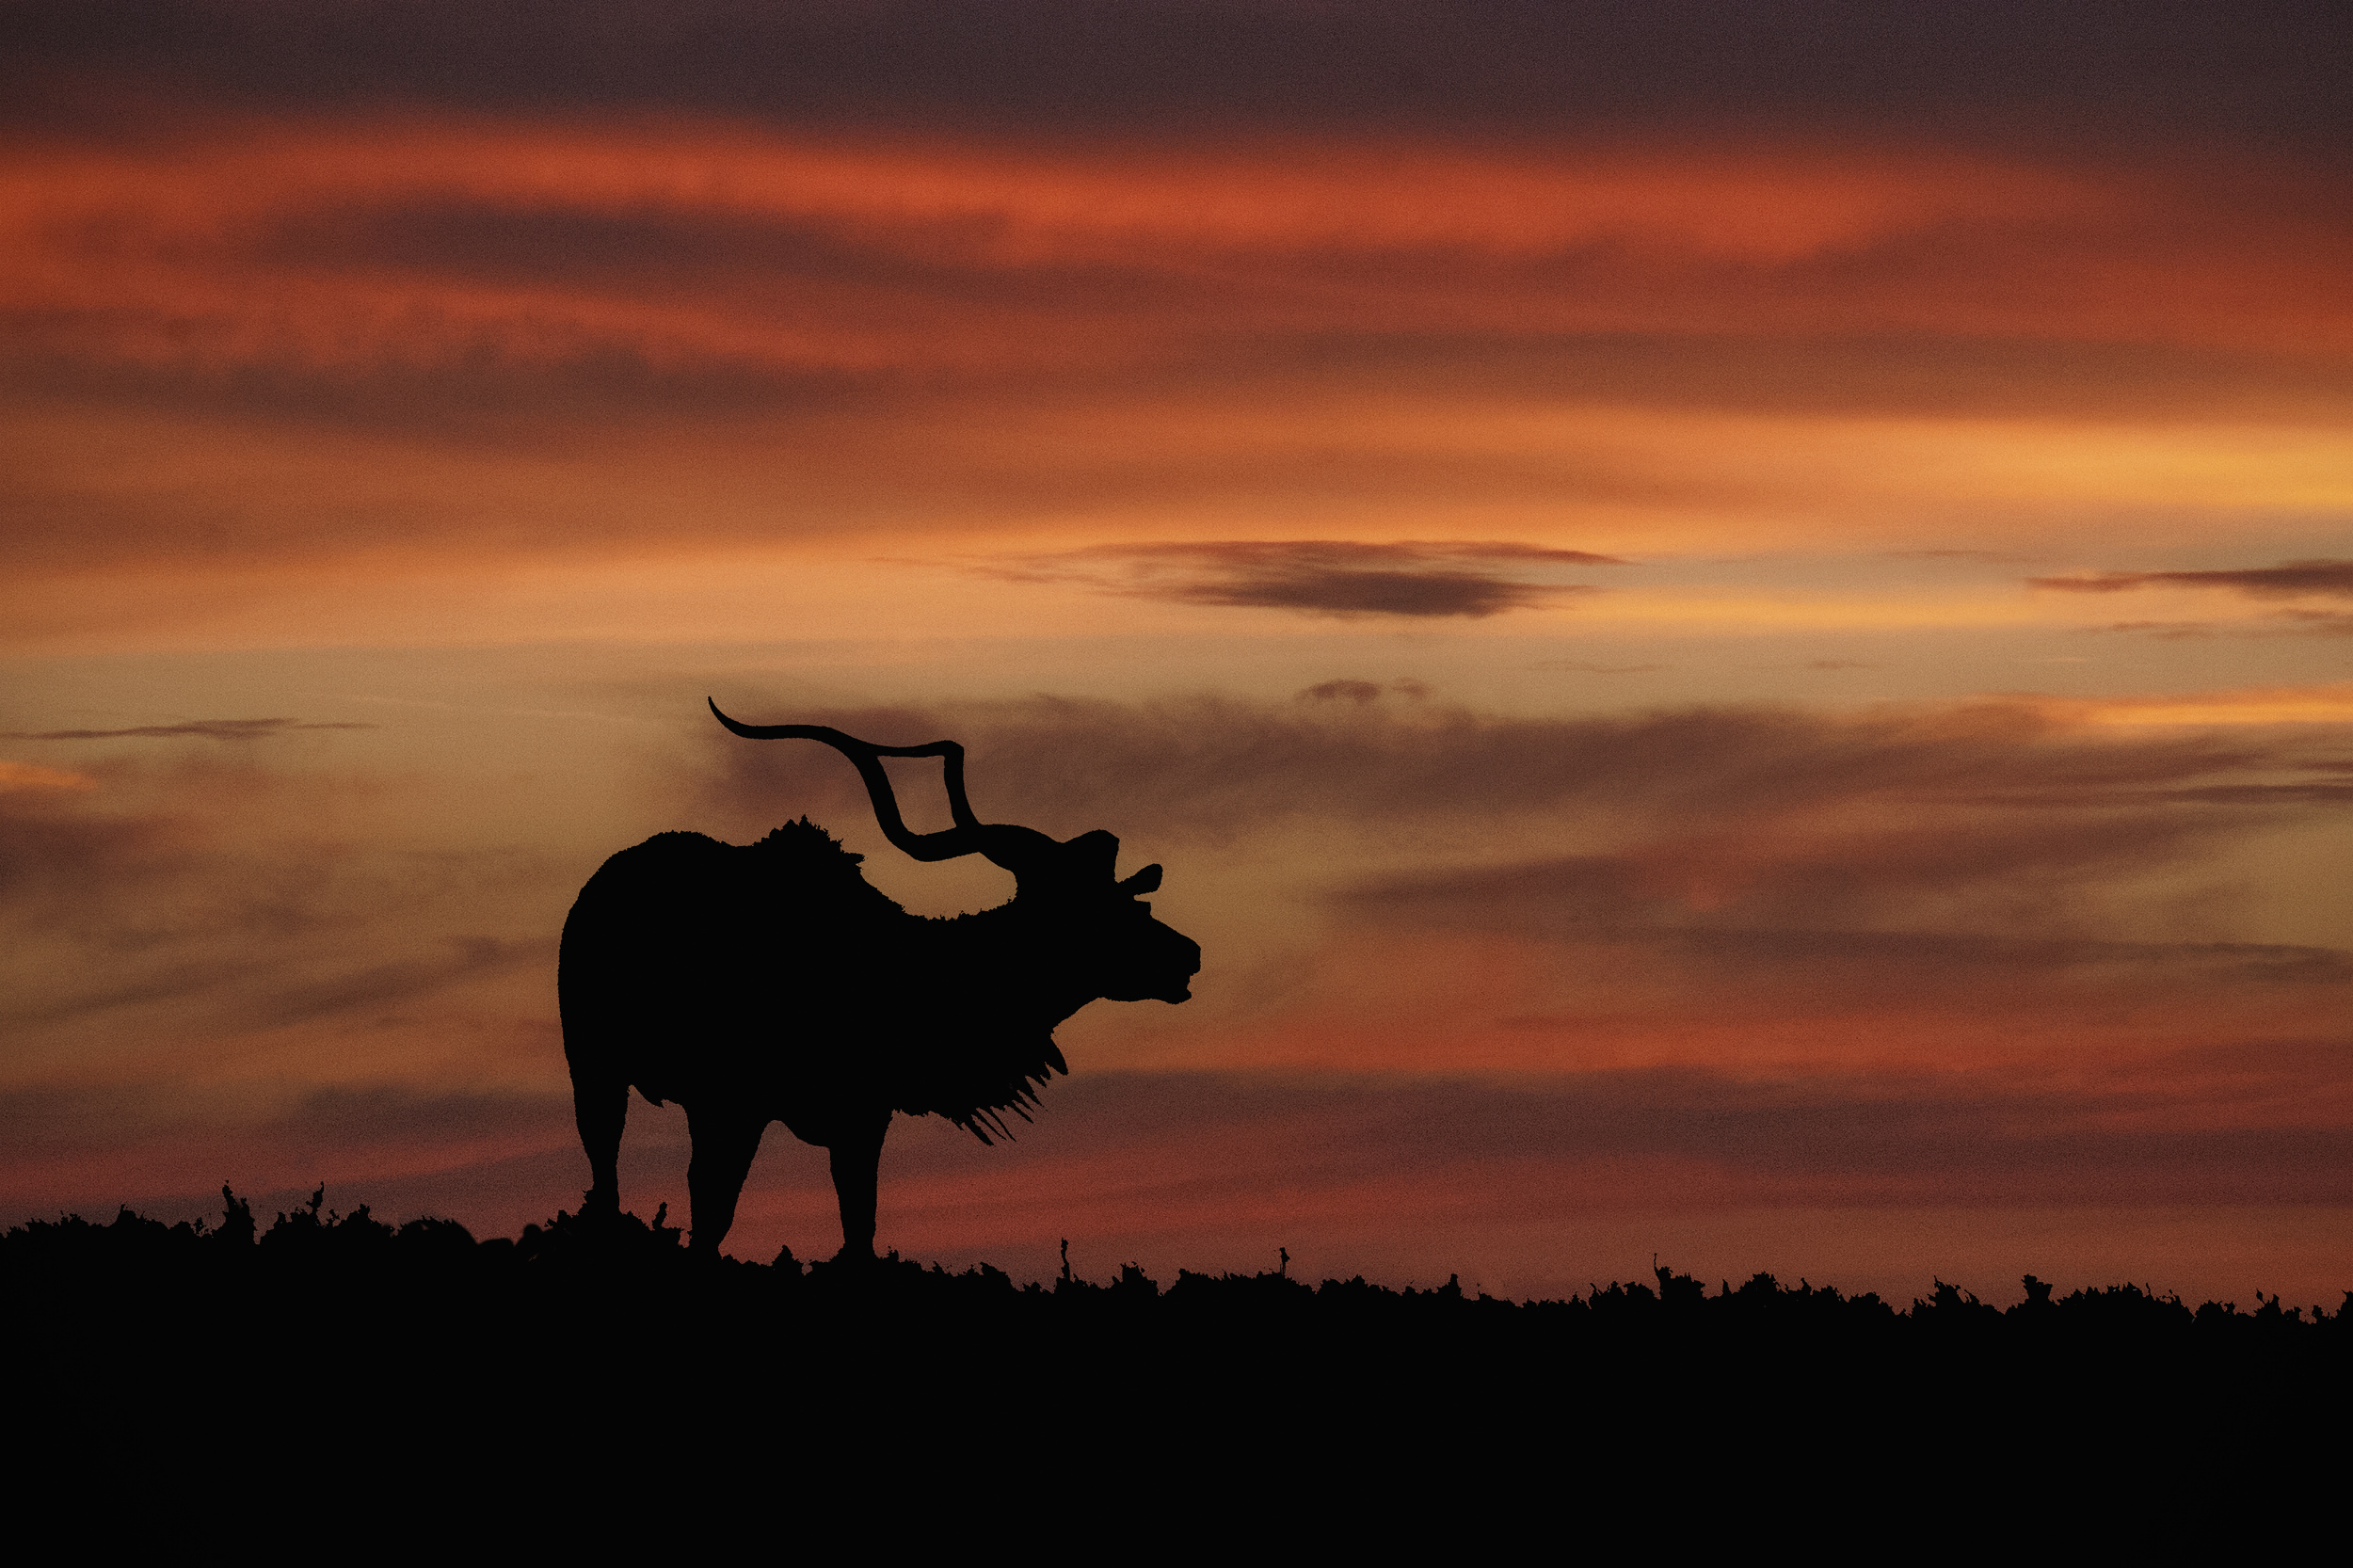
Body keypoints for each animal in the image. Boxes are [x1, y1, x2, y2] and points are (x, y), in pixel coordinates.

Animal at [557, 701, 1201, 1262]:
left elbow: (859, 1229)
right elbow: (713, 1217)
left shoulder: (862, 1118)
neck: (907, 972)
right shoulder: (733, 1100)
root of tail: (600, 883)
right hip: (594, 1064)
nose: (1187, 955)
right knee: (607, 1173)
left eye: (1127, 897)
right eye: (1090, 907)